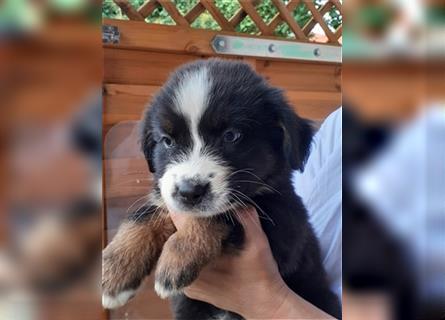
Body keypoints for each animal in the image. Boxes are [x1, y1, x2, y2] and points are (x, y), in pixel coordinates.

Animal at [101, 58, 340, 318]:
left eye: (231, 135)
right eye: (167, 141)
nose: (188, 192)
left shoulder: (282, 225)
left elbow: (220, 215)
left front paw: (177, 259)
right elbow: (143, 215)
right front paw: (115, 271)